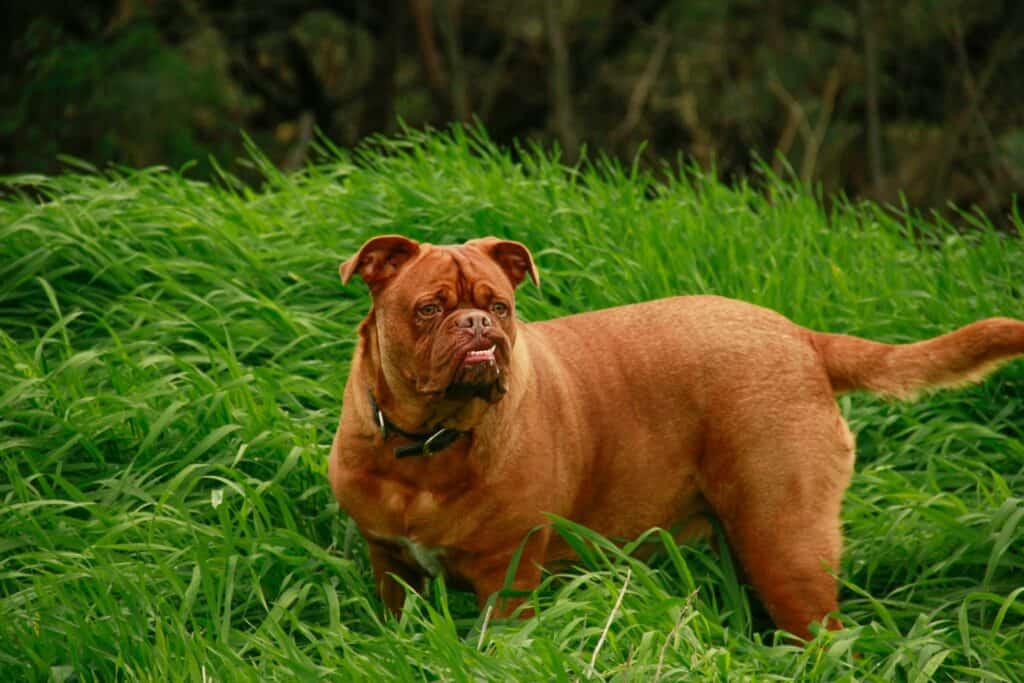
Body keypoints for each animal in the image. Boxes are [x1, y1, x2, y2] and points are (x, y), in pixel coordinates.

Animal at [329, 235, 1024, 643]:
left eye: (499, 306)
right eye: (428, 308)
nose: (478, 325)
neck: (426, 446)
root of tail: (804, 338)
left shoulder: (508, 576)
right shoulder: (391, 567)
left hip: (786, 541)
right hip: (750, 542)